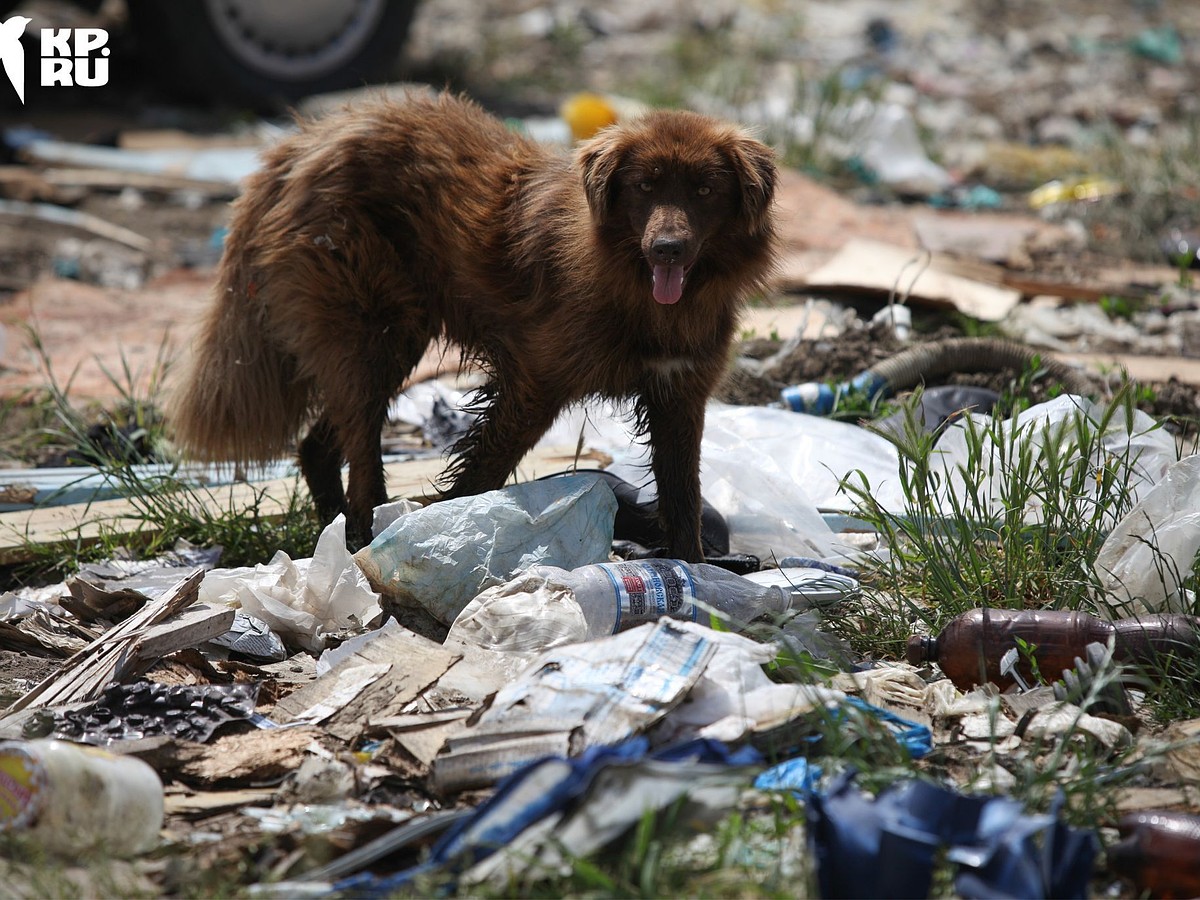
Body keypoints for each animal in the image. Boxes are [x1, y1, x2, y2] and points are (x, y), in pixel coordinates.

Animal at [174, 91, 782, 556]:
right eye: (644, 186)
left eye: (705, 189)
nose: (667, 250)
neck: (640, 293)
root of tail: (305, 139)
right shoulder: (533, 386)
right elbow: (482, 470)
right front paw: (446, 530)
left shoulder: (679, 394)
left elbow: (682, 498)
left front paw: (694, 573)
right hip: (376, 334)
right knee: (361, 457)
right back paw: (360, 539)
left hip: (383, 342)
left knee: (318, 446)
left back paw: (336, 531)